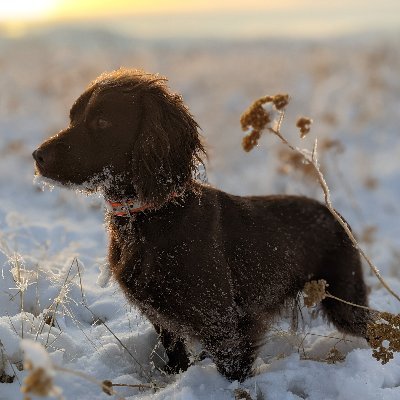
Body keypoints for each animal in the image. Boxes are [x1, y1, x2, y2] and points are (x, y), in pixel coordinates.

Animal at [32, 68, 370, 382]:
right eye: (73, 116)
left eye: (102, 121)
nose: (37, 156)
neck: (151, 216)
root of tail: (334, 215)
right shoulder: (163, 319)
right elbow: (175, 354)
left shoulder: (223, 321)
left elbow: (233, 370)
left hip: (345, 299)